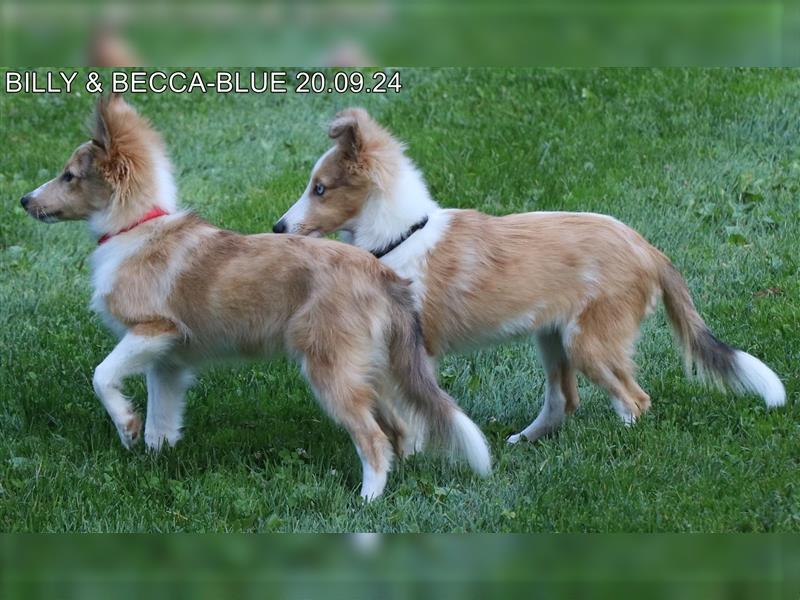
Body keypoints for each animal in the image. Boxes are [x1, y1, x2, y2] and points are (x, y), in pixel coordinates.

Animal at [18, 96, 490, 500]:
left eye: (68, 176)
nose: (23, 200)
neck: (135, 229)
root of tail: (382, 274)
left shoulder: (153, 328)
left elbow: (101, 375)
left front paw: (125, 426)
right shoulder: (168, 361)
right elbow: (161, 420)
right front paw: (153, 456)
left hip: (330, 368)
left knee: (373, 439)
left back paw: (367, 499)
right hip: (370, 368)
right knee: (400, 431)